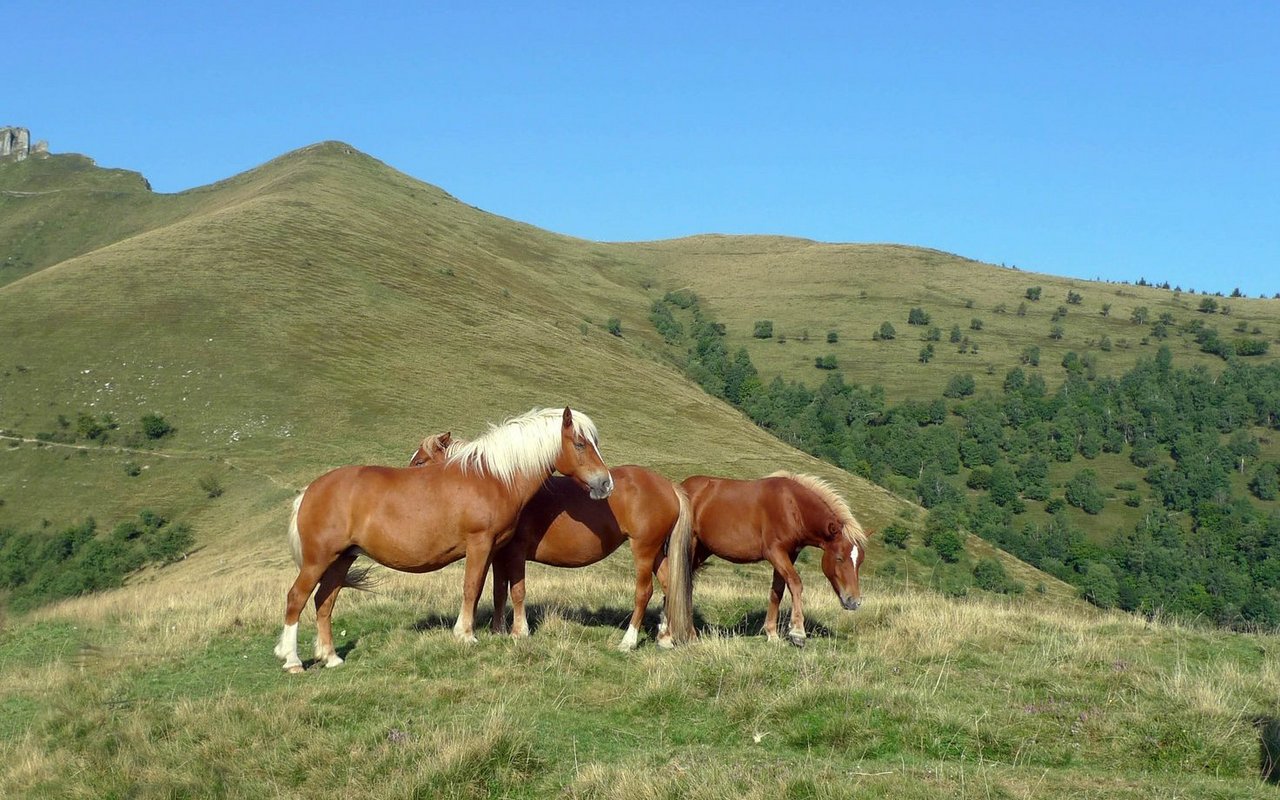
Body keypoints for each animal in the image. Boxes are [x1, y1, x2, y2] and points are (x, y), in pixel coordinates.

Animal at [274, 407, 613, 673]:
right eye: (580, 443)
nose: (605, 483)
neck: (492, 477)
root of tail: (310, 490)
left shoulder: (494, 550)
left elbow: (489, 589)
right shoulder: (479, 544)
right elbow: (471, 587)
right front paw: (465, 635)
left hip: (342, 559)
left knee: (324, 602)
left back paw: (331, 657)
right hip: (318, 560)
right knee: (296, 599)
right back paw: (292, 660)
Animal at [408, 440, 695, 651]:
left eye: (420, 461)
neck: (502, 482)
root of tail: (668, 485)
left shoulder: (514, 553)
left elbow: (516, 591)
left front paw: (516, 632)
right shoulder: (498, 555)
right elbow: (499, 591)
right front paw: (497, 630)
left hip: (644, 550)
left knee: (644, 592)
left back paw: (629, 641)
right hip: (656, 552)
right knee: (669, 584)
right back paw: (666, 637)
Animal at [679, 471, 868, 647]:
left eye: (860, 561)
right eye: (839, 558)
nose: (854, 601)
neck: (793, 506)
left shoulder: (789, 555)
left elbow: (777, 590)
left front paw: (772, 633)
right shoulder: (775, 552)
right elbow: (795, 583)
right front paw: (798, 632)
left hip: (702, 550)